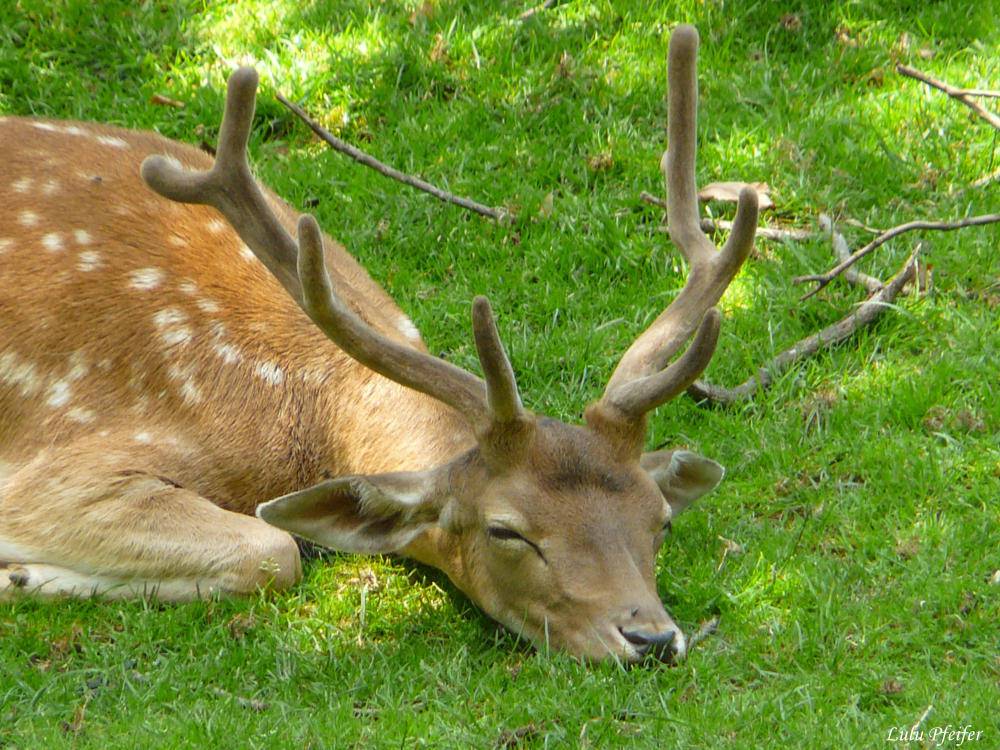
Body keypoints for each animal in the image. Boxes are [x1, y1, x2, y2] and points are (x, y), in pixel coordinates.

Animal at [0, 26, 752, 664]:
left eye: (659, 520)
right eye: (506, 530)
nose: (652, 637)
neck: (294, 408)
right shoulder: (65, 467)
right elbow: (273, 550)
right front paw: (20, 574)